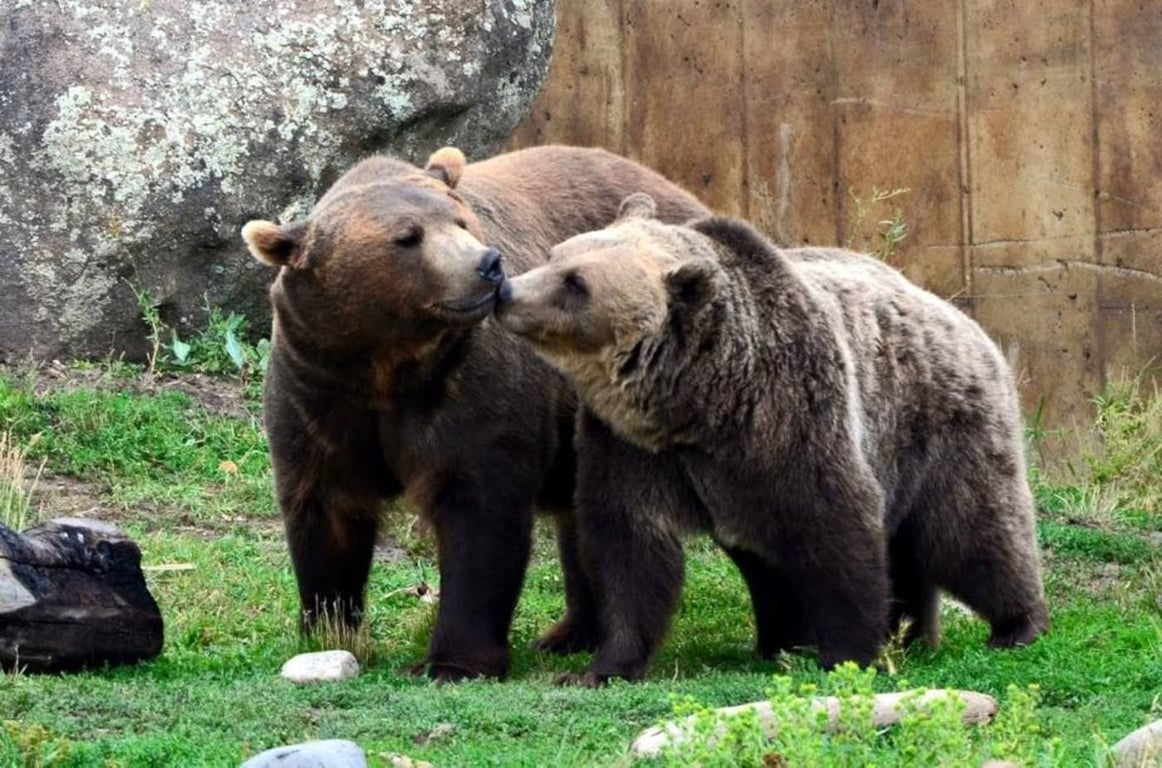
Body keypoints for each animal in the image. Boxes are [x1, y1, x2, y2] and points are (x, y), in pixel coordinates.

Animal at [240, 148, 709, 682]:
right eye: (408, 236)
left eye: (461, 220)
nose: (489, 263)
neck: (386, 364)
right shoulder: (317, 390)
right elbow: (326, 513)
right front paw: (329, 630)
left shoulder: (465, 386)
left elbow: (480, 511)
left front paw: (453, 661)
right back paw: (570, 634)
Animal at [494, 192, 1049, 684]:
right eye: (555, 255)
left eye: (576, 282)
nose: (507, 291)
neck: (699, 405)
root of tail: (954, 311)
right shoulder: (631, 447)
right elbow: (629, 547)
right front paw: (601, 667)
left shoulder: (793, 419)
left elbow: (837, 527)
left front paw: (850, 652)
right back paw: (891, 633)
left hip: (938, 425)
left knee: (969, 528)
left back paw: (1016, 624)